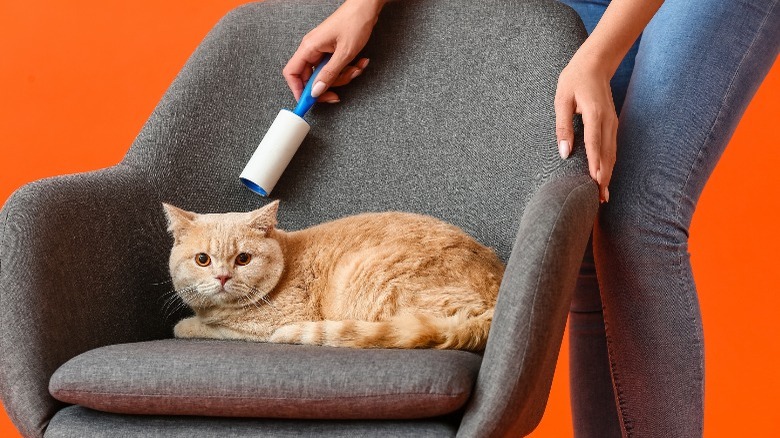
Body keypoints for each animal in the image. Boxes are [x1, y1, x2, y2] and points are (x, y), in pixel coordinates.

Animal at [165, 200, 506, 350]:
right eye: (203, 260)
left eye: (243, 258)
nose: (222, 277)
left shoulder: (269, 325)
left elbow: (204, 328)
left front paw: (187, 325)